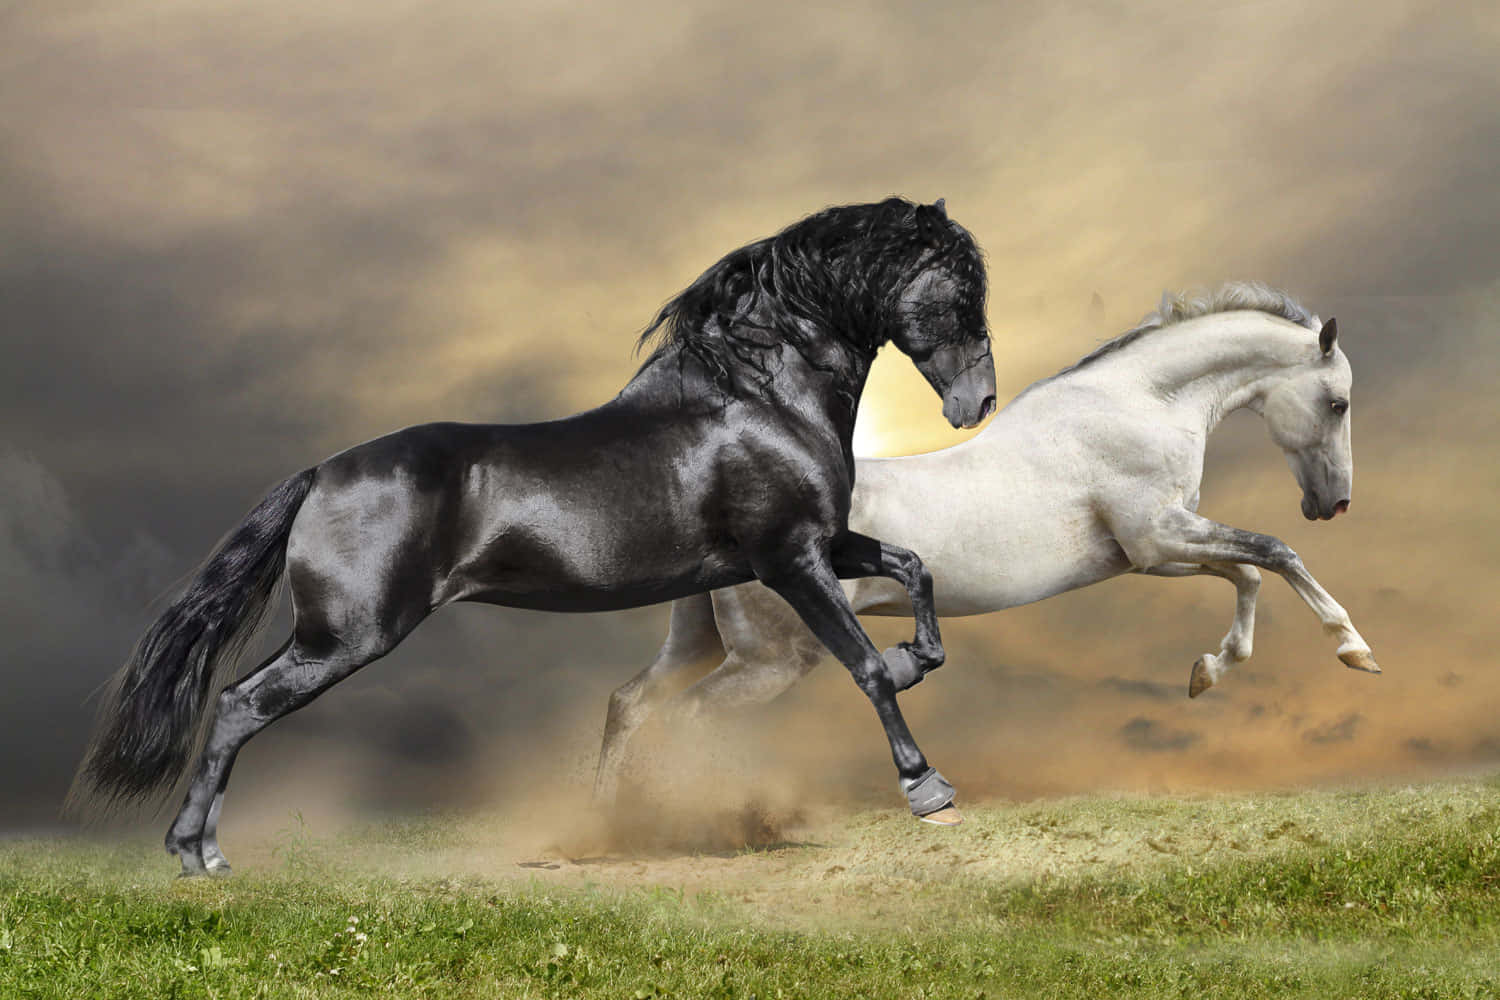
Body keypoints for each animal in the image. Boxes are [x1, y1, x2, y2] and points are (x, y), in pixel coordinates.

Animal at [70, 197, 998, 875]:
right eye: (960, 290)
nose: (977, 404)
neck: (756, 399)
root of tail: (321, 473)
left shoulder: (822, 543)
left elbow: (914, 568)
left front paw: (920, 659)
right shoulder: (789, 559)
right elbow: (865, 667)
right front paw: (927, 787)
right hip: (347, 635)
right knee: (238, 704)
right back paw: (198, 854)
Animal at [593, 282, 1379, 807]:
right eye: (1337, 402)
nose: (1333, 504)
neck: (1138, 405)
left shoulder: (1149, 554)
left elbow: (1247, 575)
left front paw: (1208, 671)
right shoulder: (1159, 534)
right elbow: (1275, 553)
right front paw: (1354, 650)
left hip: (702, 643)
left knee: (631, 703)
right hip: (772, 661)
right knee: (686, 718)